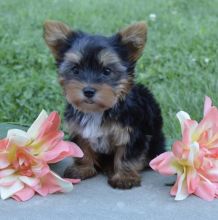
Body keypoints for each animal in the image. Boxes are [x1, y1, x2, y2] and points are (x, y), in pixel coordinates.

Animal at [43, 20, 164, 189]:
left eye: (107, 71)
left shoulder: (133, 132)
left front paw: (125, 177)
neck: (97, 110)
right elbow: (82, 149)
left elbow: (127, 154)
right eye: (75, 69)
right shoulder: (79, 129)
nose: (88, 91)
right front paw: (82, 169)